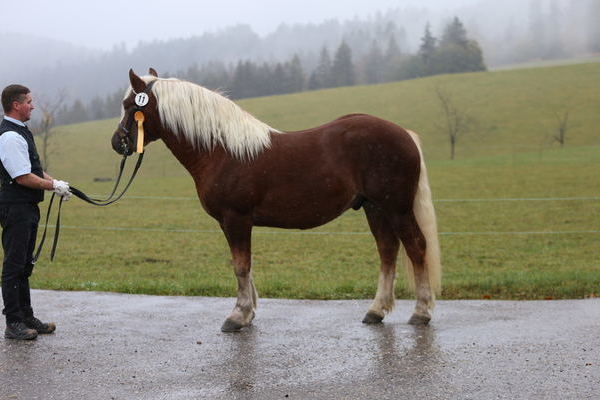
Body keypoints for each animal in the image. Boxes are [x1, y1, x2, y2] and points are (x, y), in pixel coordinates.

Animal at [112, 68, 440, 332]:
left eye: (131, 106)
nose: (118, 142)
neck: (221, 150)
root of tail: (404, 134)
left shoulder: (235, 218)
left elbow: (240, 266)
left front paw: (238, 316)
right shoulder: (236, 223)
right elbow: (245, 266)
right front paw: (249, 313)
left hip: (396, 208)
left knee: (416, 246)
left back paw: (421, 312)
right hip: (375, 208)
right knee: (387, 250)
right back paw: (376, 311)